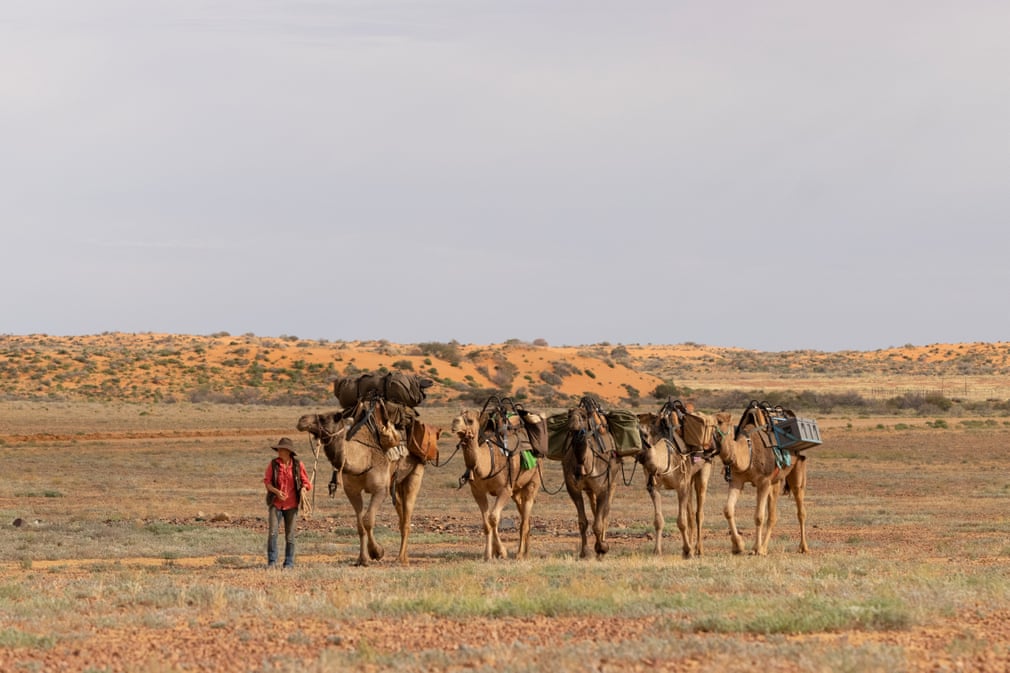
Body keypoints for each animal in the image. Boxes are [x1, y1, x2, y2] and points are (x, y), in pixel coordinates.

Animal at [296, 398, 428, 565]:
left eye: (328, 418)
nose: (302, 420)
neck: (363, 459)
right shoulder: (352, 491)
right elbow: (359, 524)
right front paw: (362, 559)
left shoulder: (380, 490)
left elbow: (367, 520)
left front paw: (377, 552)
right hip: (396, 483)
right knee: (400, 512)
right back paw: (403, 556)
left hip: (416, 473)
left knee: (407, 517)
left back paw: (400, 559)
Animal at [452, 404, 545, 561]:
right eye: (457, 416)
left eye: (470, 420)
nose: (454, 423)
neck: (488, 462)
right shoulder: (477, 491)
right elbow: (486, 523)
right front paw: (489, 554)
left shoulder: (505, 489)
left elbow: (493, 518)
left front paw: (501, 552)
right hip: (516, 491)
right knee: (524, 515)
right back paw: (527, 552)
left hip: (533, 481)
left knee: (525, 518)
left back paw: (521, 555)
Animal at [561, 396, 622, 557]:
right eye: (569, 415)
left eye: (583, 416)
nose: (573, 426)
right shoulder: (573, 489)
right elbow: (583, 522)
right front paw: (584, 552)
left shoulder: (603, 488)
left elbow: (599, 522)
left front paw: (602, 548)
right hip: (589, 490)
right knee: (595, 509)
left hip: (613, 481)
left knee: (605, 513)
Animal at [634, 404, 715, 553]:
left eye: (645, 435)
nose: (640, 454)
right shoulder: (654, 487)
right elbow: (658, 521)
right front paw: (657, 551)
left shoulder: (681, 485)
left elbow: (681, 522)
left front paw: (688, 550)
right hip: (689, 479)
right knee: (690, 513)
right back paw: (691, 545)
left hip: (704, 468)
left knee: (699, 512)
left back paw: (699, 549)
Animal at [715, 400, 808, 553]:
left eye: (720, 421)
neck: (748, 450)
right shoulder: (736, 480)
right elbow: (728, 510)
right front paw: (738, 546)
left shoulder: (763, 481)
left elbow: (759, 516)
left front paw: (755, 549)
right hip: (775, 481)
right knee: (773, 515)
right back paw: (765, 548)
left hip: (797, 467)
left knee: (800, 507)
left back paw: (803, 547)